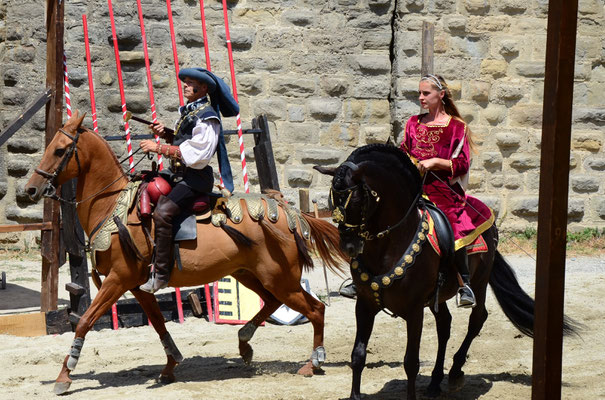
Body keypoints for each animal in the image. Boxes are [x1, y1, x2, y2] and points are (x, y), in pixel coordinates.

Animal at [26, 111, 346, 394]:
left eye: (60, 150)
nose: (30, 189)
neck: (111, 206)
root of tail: (288, 213)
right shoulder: (138, 285)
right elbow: (158, 324)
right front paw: (170, 366)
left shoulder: (117, 280)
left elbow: (85, 322)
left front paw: (64, 376)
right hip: (250, 274)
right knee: (271, 302)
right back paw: (244, 343)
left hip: (281, 278)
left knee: (316, 309)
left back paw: (313, 362)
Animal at [316, 144, 576, 400]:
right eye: (332, 201)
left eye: (357, 200)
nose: (348, 246)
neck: (389, 244)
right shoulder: (365, 305)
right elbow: (358, 356)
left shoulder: (413, 310)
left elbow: (411, 362)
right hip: (437, 297)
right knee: (445, 325)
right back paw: (434, 381)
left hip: (480, 282)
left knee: (477, 319)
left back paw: (454, 371)